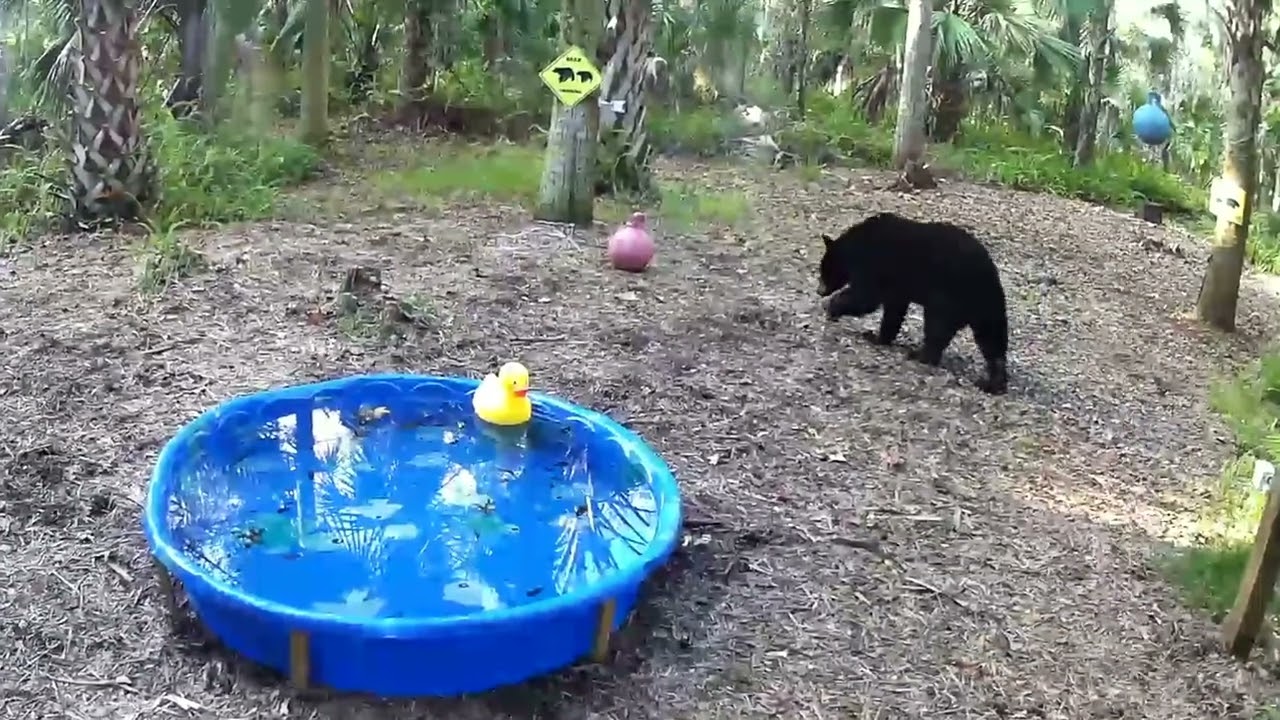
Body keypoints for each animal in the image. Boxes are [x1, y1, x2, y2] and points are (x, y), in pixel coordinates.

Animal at [816, 212, 1010, 395]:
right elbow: (893, 310)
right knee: (992, 339)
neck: (857, 245)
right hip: (987, 306)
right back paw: (993, 382)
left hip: (949, 296)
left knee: (937, 327)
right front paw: (879, 337)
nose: (819, 290)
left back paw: (920, 355)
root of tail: (985, 275)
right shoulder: (896, 287)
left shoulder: (875, 267)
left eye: (824, 270)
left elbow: (866, 297)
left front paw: (833, 307)